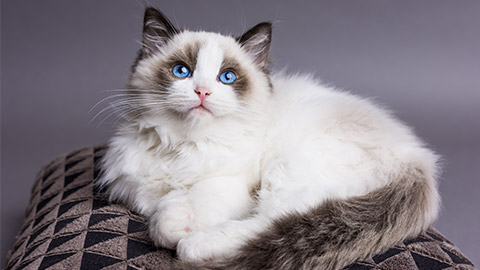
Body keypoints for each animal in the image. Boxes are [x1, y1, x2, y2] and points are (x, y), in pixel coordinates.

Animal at [99, 6, 440, 270]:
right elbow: (155, 205)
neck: (182, 145)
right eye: (181, 71)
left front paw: (173, 228)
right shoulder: (134, 191)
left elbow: (167, 215)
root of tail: (419, 163)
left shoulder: (235, 185)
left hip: (289, 167)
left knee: (277, 221)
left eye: (227, 77)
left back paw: (195, 246)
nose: (202, 92)